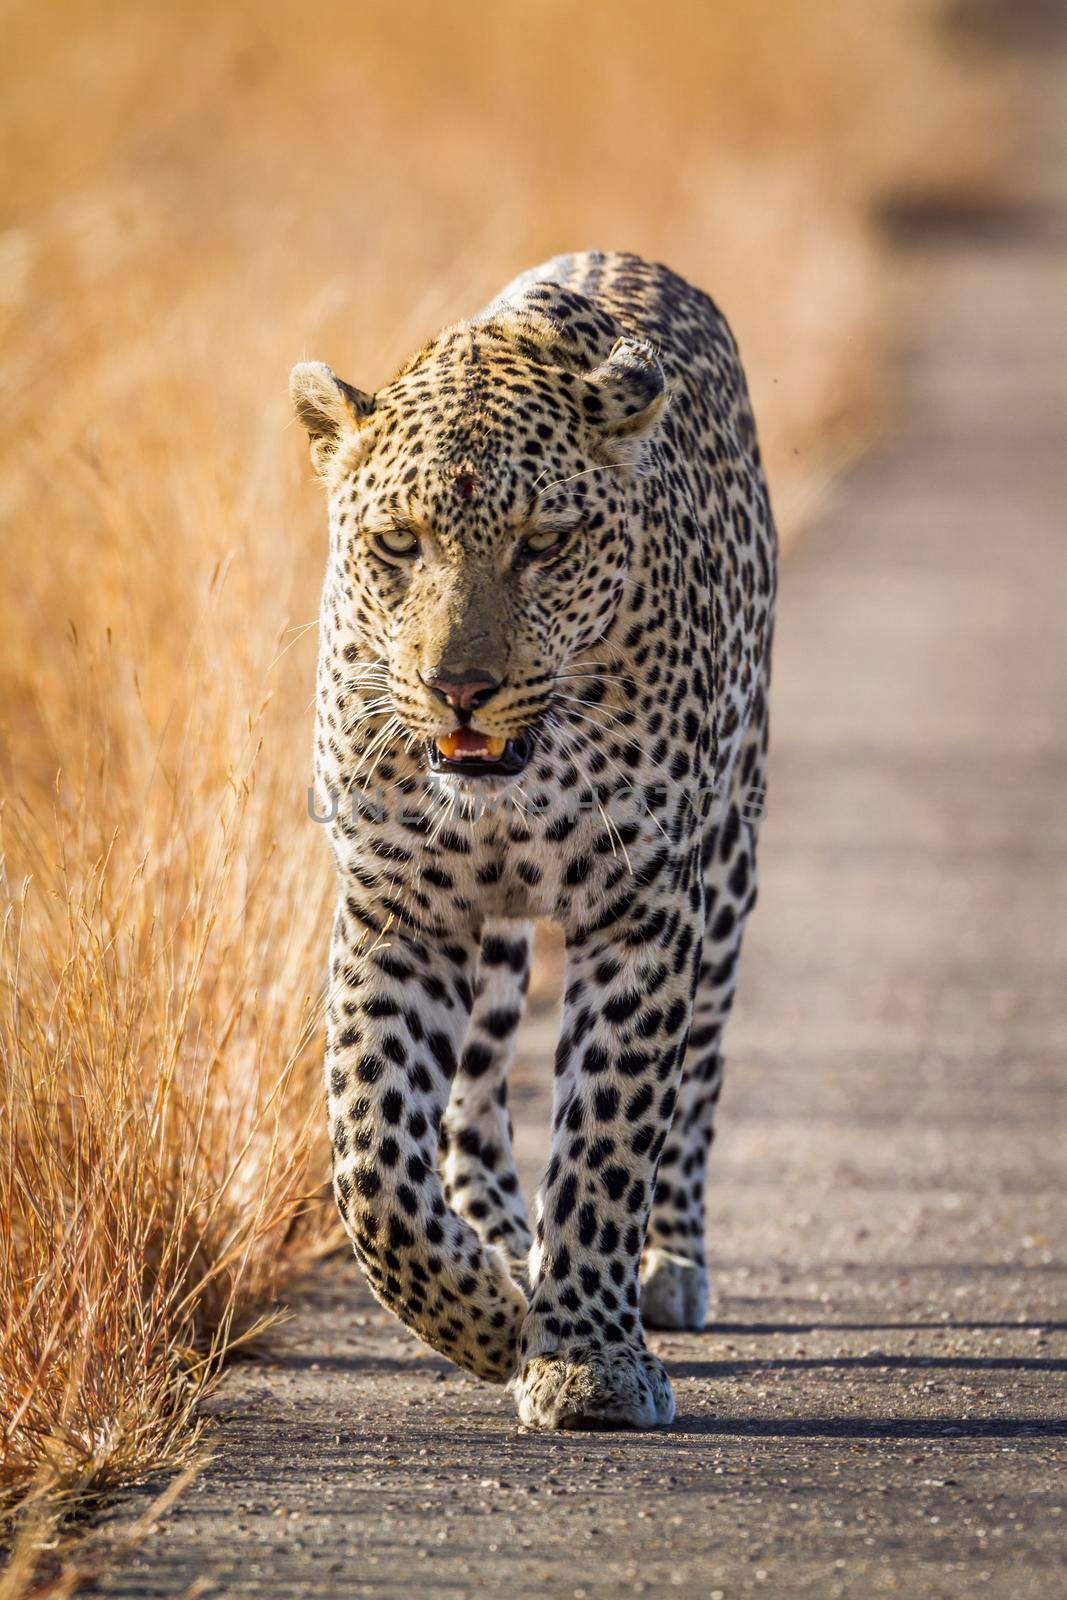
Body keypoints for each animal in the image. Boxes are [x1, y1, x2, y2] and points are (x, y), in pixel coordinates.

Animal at [292, 246, 777, 1427]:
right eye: (397, 543)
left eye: (545, 546)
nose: (458, 688)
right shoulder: (398, 908)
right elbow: (372, 1159)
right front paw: (484, 1316)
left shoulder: (642, 908)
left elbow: (607, 1137)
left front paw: (588, 1357)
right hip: (495, 935)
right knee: (472, 1096)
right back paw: (504, 1248)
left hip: (728, 864)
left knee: (696, 1072)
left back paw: (668, 1263)